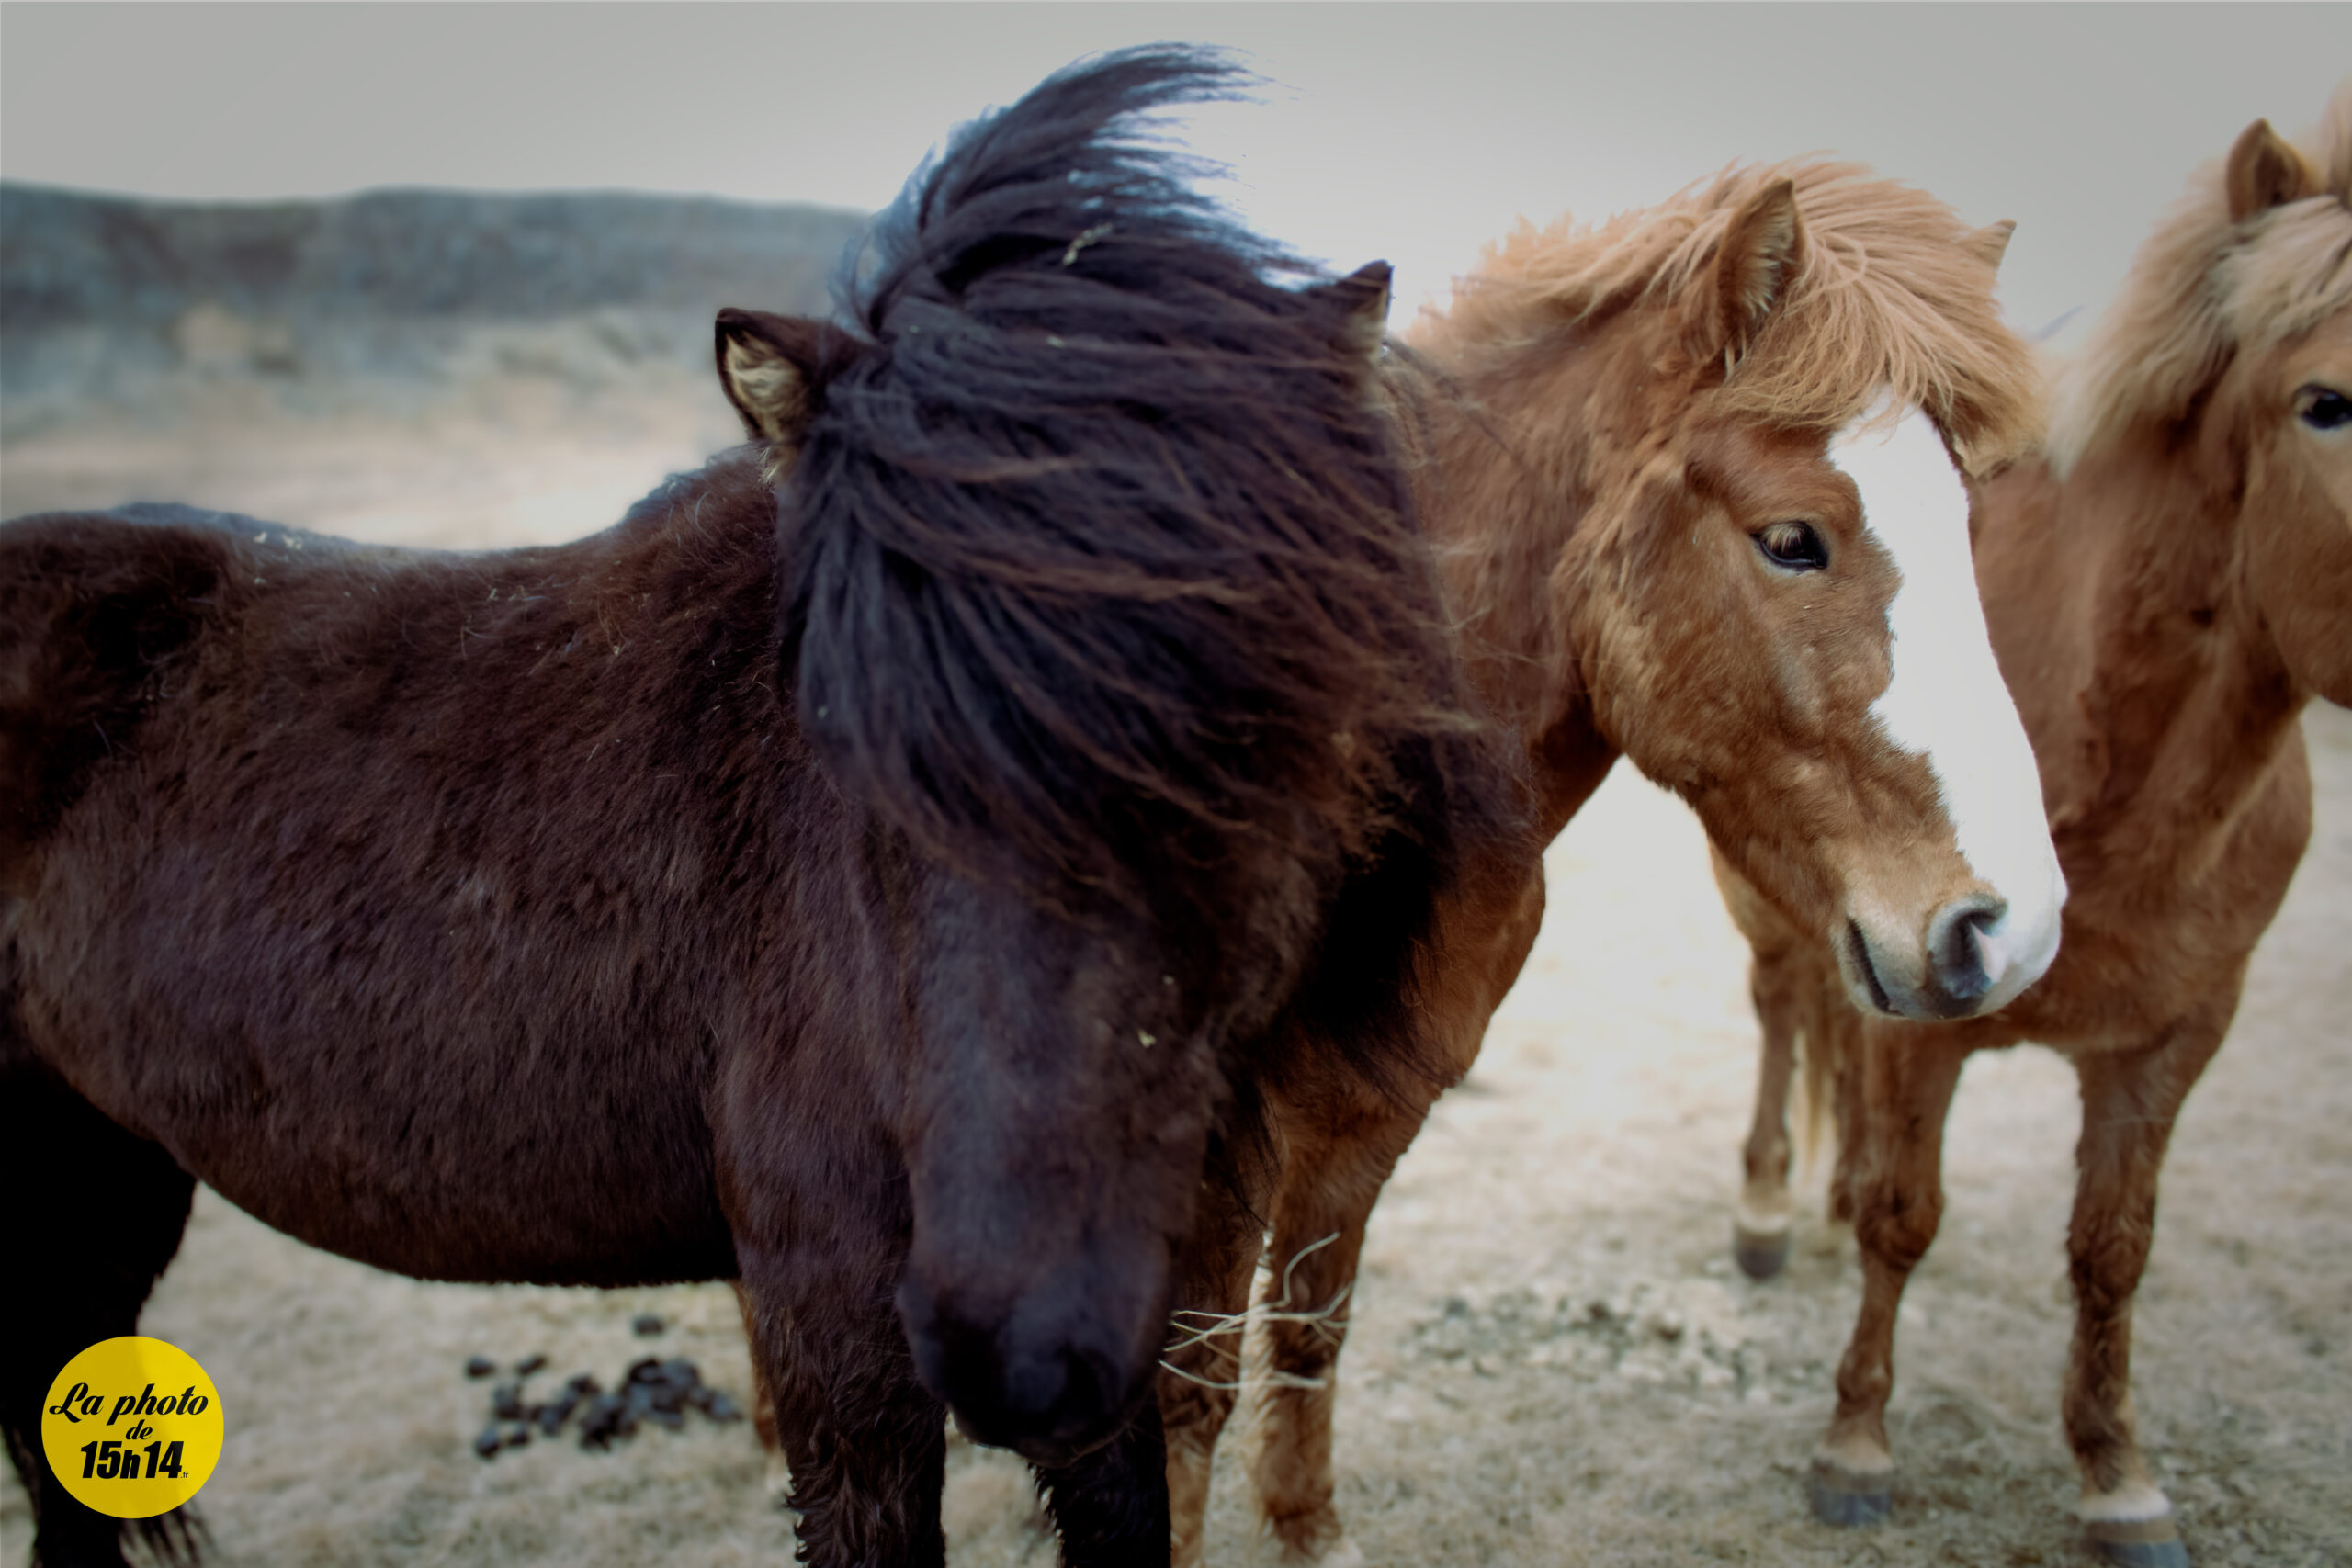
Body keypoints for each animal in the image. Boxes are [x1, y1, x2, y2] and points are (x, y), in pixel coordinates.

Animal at [1153, 160, 2068, 1565]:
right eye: (1791, 538)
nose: (2005, 931)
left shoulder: (1373, 1105)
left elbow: (1308, 1327)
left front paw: (1308, 1526)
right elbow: (1187, 1389)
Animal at [1713, 90, 2352, 1568]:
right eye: (2327, 404)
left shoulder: (2174, 1036)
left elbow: (2112, 1248)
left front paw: (2117, 1473)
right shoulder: (1922, 996)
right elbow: (1906, 1216)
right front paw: (1857, 1445)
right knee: (1782, 1012)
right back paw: (1769, 1211)